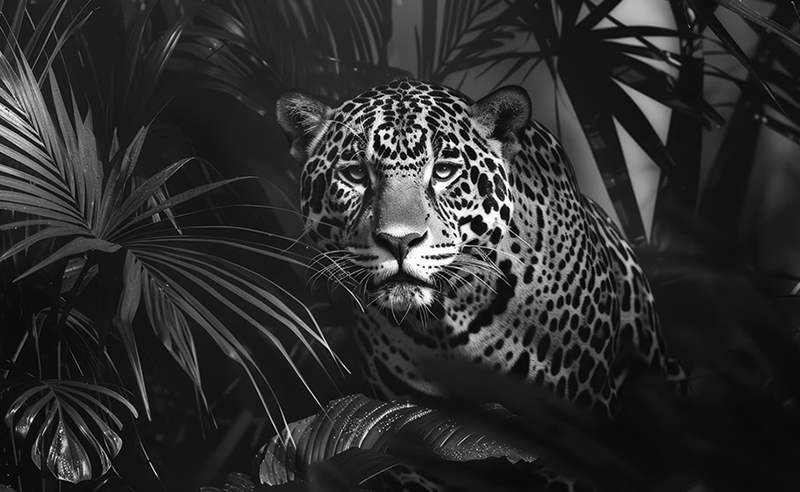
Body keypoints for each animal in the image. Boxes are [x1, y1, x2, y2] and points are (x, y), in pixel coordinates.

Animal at [276, 78, 687, 491]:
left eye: (443, 172)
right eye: (356, 175)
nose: (399, 241)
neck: (449, 321)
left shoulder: (577, 430)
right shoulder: (399, 432)